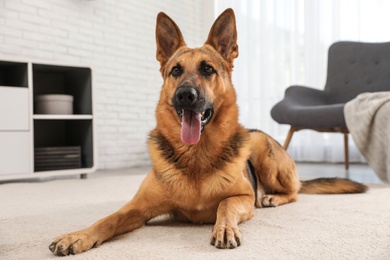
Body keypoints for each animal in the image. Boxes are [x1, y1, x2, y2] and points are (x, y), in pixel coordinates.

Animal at [49, 8, 366, 256]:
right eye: (175, 71)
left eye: (207, 69)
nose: (185, 96)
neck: (196, 156)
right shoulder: (137, 208)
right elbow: (107, 219)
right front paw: (78, 236)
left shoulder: (242, 197)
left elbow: (225, 204)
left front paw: (224, 228)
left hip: (263, 151)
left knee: (295, 192)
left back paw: (273, 197)